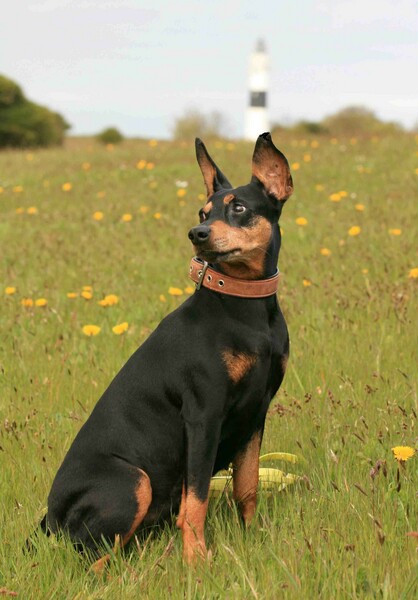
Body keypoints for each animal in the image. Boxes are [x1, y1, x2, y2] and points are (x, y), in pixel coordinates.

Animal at [43, 132, 294, 568]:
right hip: (133, 481)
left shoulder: (256, 413)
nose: (198, 233)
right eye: (203, 211)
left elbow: (247, 486)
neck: (247, 311)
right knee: (91, 556)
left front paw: (253, 538)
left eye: (239, 207)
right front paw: (197, 560)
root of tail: (49, 520)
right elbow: (196, 500)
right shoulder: (203, 414)